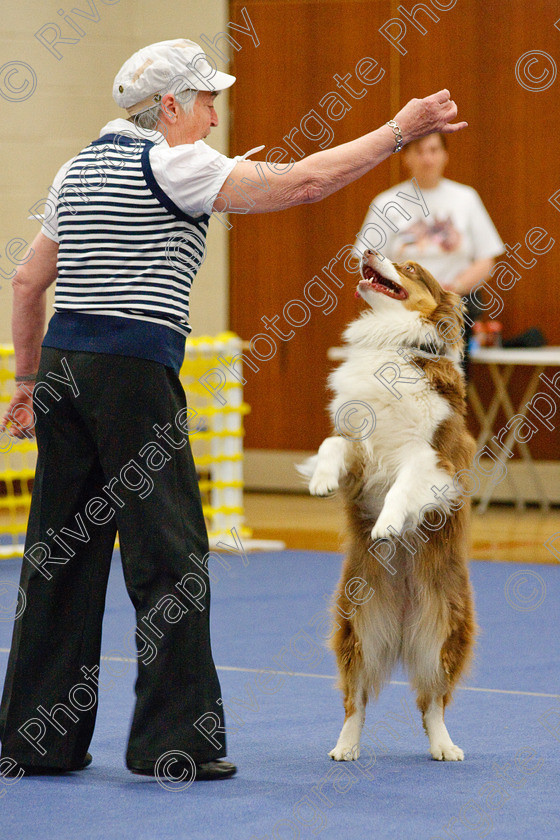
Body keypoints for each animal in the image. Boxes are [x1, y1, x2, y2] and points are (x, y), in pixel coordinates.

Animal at [302, 248, 476, 760]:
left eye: (413, 268)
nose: (368, 249)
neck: (393, 349)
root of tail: (401, 624)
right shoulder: (360, 457)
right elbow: (331, 444)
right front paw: (321, 481)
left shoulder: (437, 459)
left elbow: (405, 484)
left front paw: (388, 526)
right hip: (358, 628)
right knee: (355, 701)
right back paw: (345, 747)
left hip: (443, 632)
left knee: (433, 702)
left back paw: (445, 746)